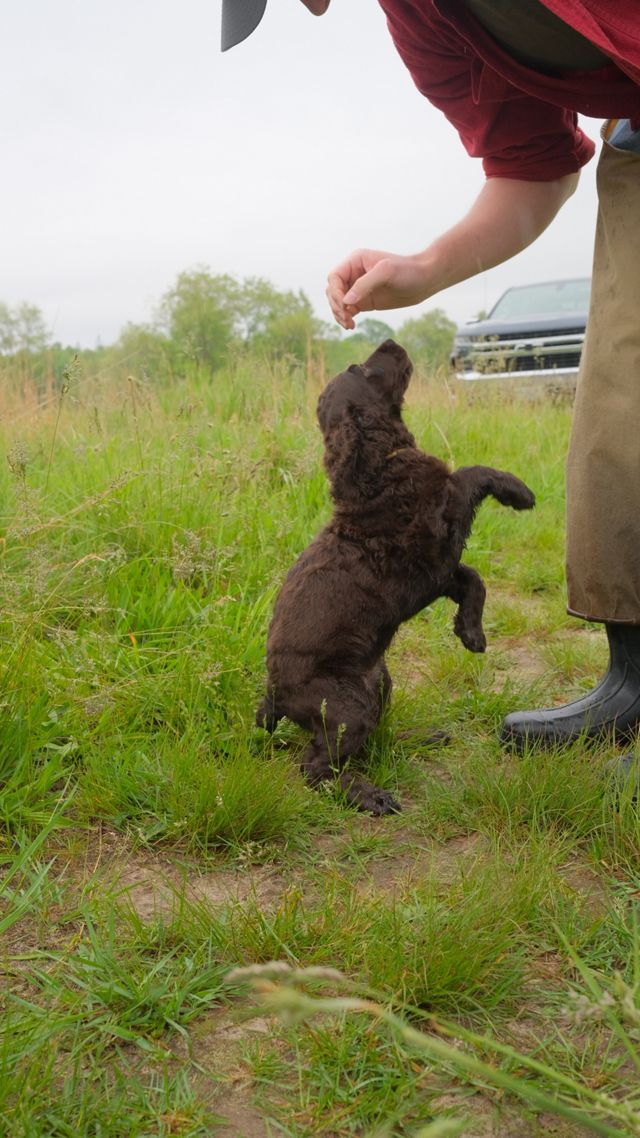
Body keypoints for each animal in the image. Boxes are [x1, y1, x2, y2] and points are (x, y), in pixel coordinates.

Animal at [255, 341, 532, 814]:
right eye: (363, 369)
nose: (391, 342)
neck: (380, 463)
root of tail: (274, 693)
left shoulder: (439, 571)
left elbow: (474, 579)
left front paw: (470, 633)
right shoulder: (441, 529)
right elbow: (469, 473)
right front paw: (519, 491)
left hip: (379, 683)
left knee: (371, 743)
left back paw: (418, 738)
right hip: (347, 708)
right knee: (317, 768)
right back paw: (368, 796)